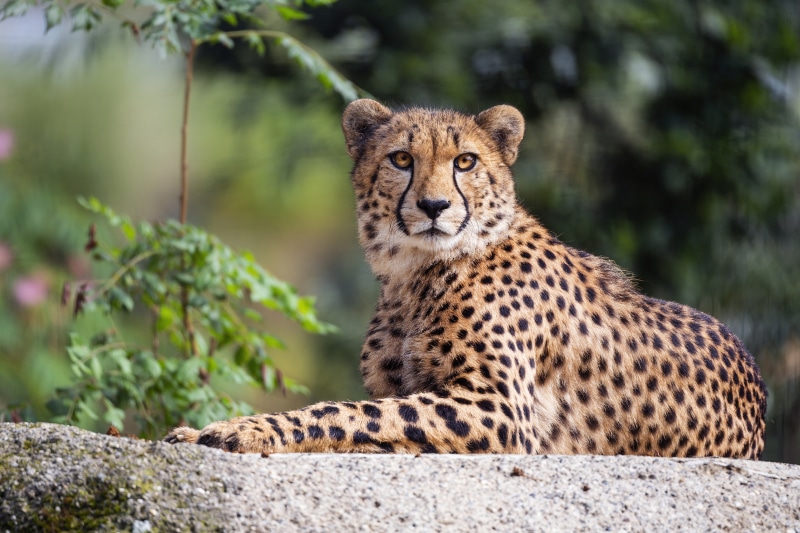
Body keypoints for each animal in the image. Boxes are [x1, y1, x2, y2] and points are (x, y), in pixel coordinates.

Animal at [164, 99, 767, 459]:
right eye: (401, 159)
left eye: (466, 162)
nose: (434, 206)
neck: (415, 276)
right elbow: (371, 413)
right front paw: (201, 429)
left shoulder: (499, 409)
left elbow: (350, 414)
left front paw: (244, 429)